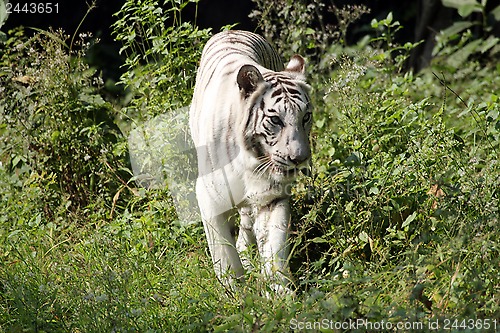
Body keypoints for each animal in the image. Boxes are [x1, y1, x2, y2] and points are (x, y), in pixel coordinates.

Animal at [188, 31, 312, 290]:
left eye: (305, 117)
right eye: (276, 120)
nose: (299, 158)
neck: (250, 162)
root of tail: (231, 31)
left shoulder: (272, 197)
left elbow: (274, 245)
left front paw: (279, 291)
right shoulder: (208, 198)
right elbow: (224, 255)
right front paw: (236, 293)